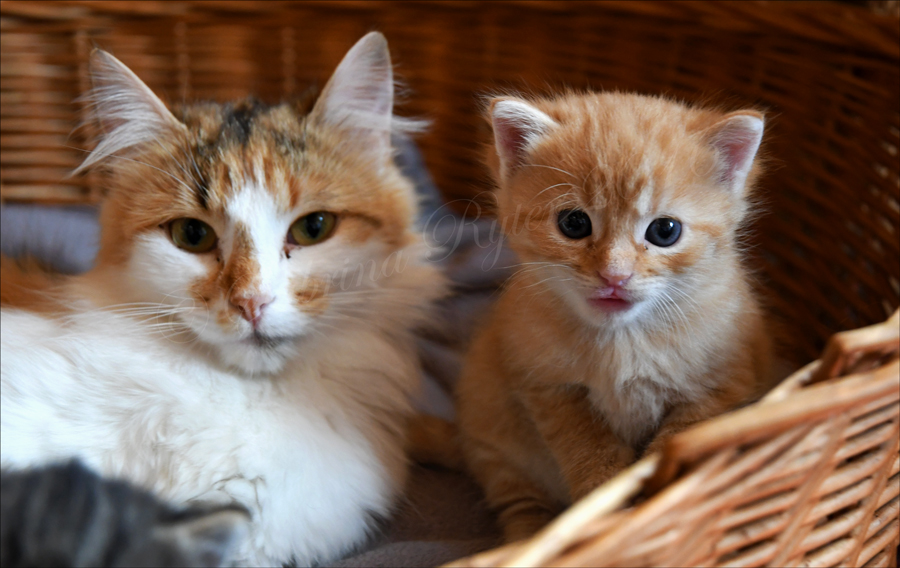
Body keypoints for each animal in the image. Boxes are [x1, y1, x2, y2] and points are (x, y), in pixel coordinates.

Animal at [458, 91, 780, 540]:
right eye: (574, 223)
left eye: (665, 231)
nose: (614, 275)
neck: (623, 340)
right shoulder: (547, 387)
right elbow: (588, 452)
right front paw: (601, 509)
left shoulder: (722, 389)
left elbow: (671, 451)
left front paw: (654, 512)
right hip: (494, 436)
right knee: (520, 502)